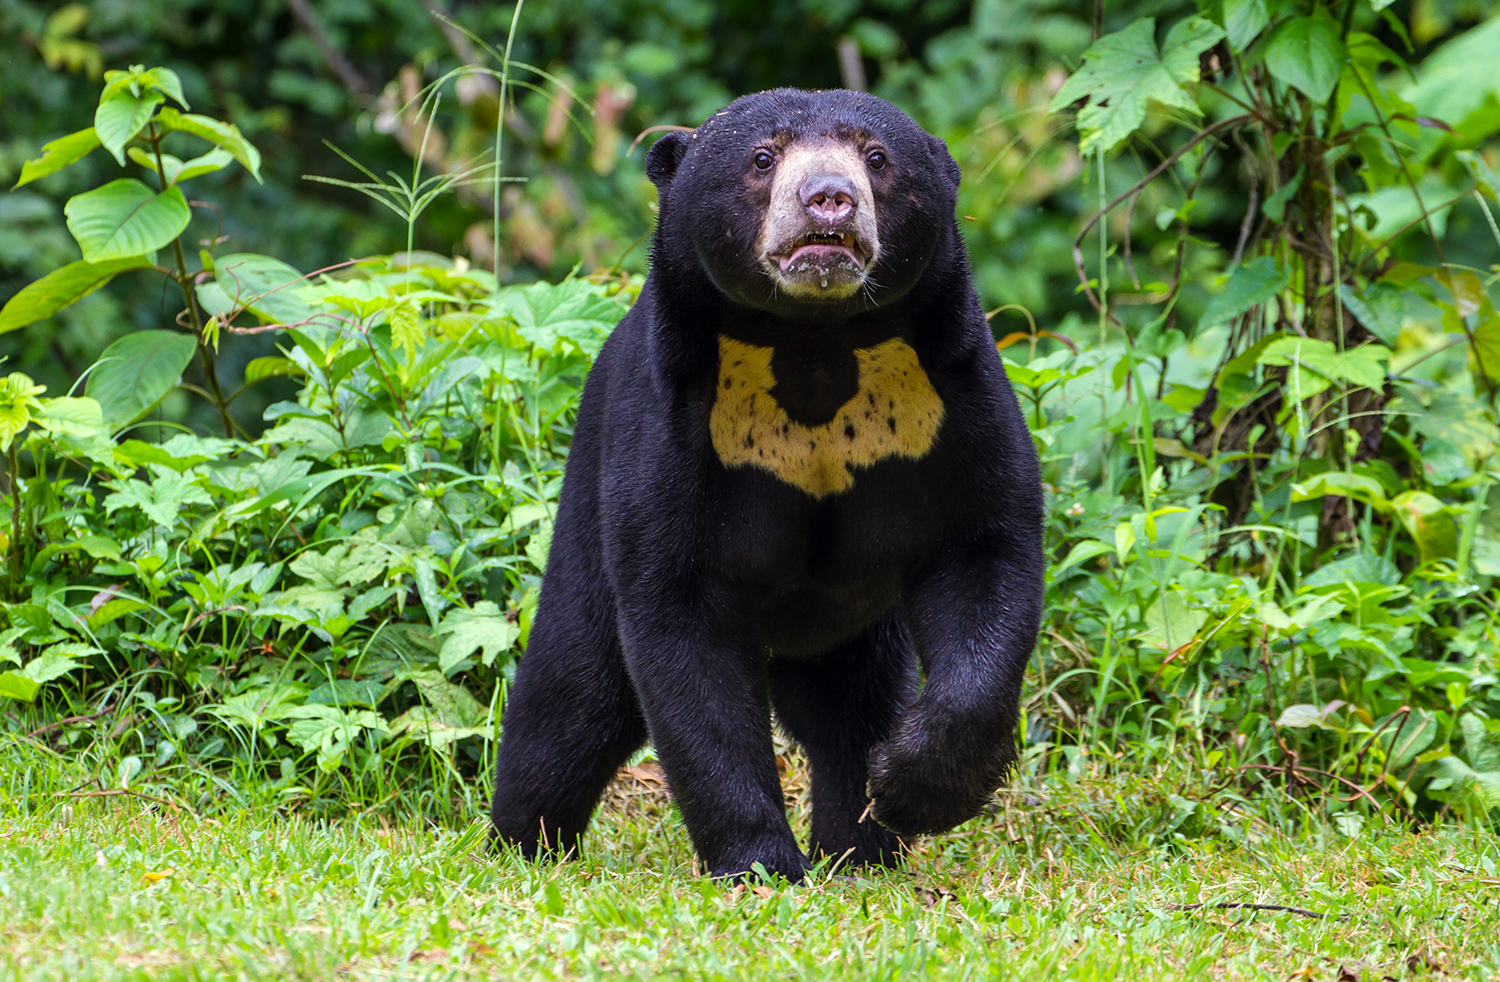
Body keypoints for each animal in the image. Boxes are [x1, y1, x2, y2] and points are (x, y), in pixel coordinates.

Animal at [492, 88, 1044, 881]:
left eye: (877, 157)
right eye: (762, 157)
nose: (830, 199)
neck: (812, 342)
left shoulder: (951, 394)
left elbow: (985, 550)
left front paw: (913, 790)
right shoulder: (674, 420)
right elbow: (682, 623)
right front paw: (759, 864)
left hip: (850, 624)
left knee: (849, 709)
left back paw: (861, 849)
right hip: (585, 507)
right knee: (572, 698)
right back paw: (524, 842)